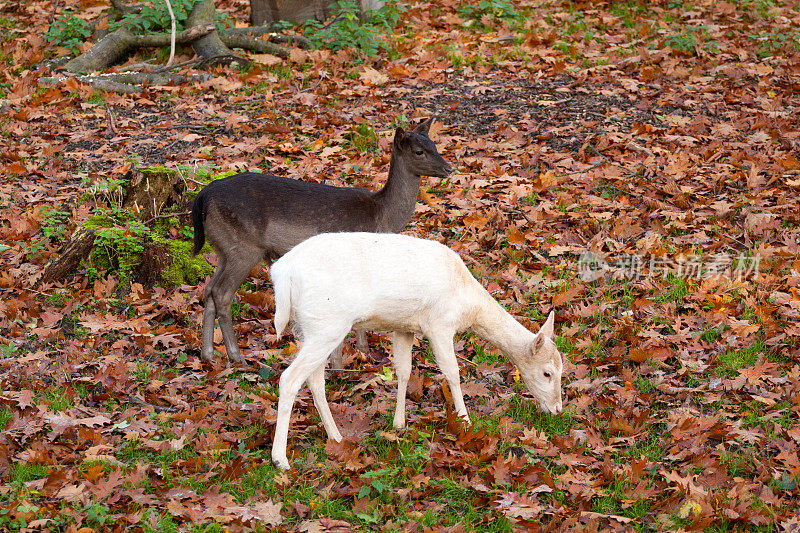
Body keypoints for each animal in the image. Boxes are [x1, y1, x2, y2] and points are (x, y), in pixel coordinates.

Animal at [188, 116, 450, 366]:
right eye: (419, 151)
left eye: (434, 145)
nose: (449, 168)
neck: (381, 217)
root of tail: (202, 196)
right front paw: (338, 365)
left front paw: (363, 351)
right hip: (245, 246)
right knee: (222, 293)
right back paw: (236, 356)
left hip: (223, 247)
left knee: (209, 289)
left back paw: (208, 354)